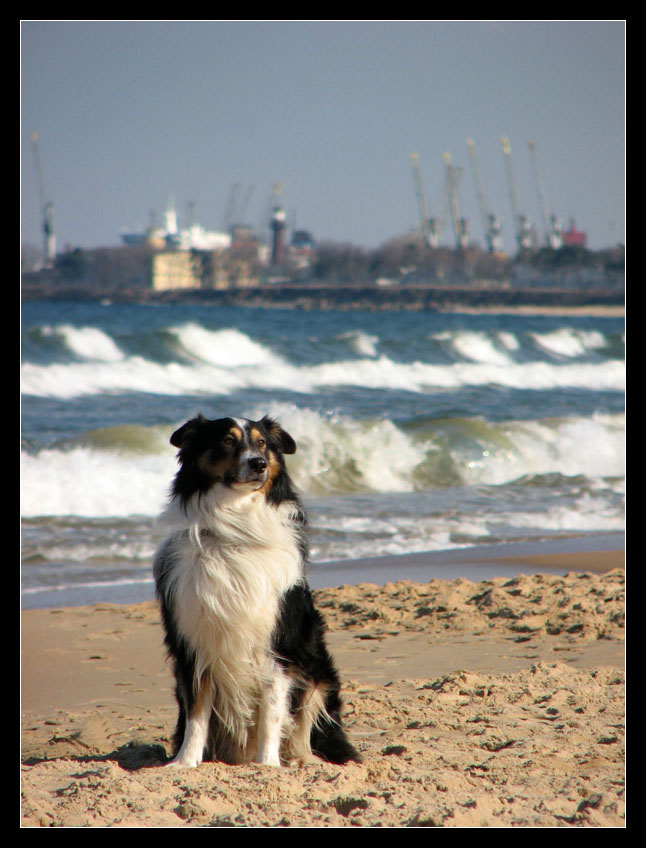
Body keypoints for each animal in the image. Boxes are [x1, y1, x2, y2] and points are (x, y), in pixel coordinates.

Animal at [154, 412, 362, 768]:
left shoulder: (278, 645)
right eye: (227, 440)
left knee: (306, 731)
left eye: (263, 443)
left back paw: (302, 761)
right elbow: (197, 713)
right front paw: (185, 762)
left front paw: (268, 765)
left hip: (318, 675)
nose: (259, 463)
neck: (236, 531)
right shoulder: (195, 643)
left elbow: (272, 712)